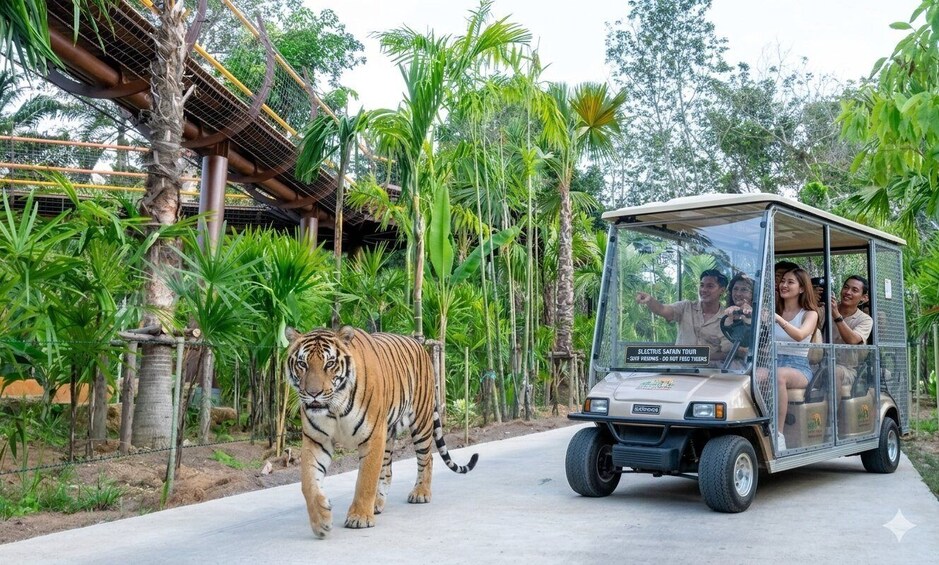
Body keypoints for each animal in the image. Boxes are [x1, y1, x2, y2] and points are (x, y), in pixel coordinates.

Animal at [284, 325, 478, 538]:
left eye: (330, 364)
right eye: (302, 364)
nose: (313, 394)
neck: (335, 408)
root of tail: (419, 343)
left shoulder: (373, 436)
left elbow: (366, 479)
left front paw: (359, 517)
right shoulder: (316, 440)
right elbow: (308, 483)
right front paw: (321, 522)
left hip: (421, 421)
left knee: (427, 458)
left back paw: (420, 493)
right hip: (389, 433)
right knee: (387, 470)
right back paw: (377, 503)